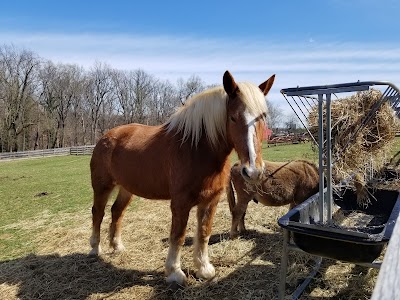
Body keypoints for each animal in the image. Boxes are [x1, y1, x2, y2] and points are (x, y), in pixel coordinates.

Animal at [89, 71, 276, 286]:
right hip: (102, 186)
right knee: (98, 213)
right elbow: (178, 236)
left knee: (117, 212)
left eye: (263, 117)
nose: (253, 171)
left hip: (127, 189)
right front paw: (174, 273)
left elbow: (203, 233)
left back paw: (117, 246)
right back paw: (95, 249)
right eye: (233, 117)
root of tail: (106, 136)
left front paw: (204, 269)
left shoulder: (210, 201)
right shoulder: (180, 202)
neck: (196, 148)